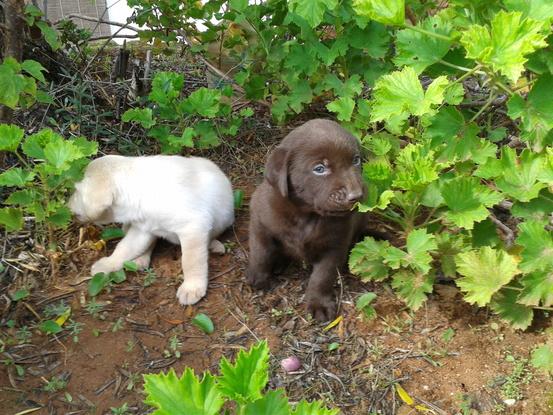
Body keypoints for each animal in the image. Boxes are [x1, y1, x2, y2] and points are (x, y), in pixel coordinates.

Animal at [68, 156, 234, 306]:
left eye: (76, 191)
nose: (67, 205)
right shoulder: (142, 229)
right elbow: (123, 248)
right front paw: (109, 264)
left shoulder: (194, 227)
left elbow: (190, 261)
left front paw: (191, 287)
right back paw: (140, 259)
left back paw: (213, 245)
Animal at [247, 119, 366, 322]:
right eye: (319, 169)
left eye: (356, 160)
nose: (356, 195)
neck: (306, 215)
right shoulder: (259, 220)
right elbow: (260, 251)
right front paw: (258, 277)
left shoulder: (335, 246)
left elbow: (322, 277)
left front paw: (319, 304)